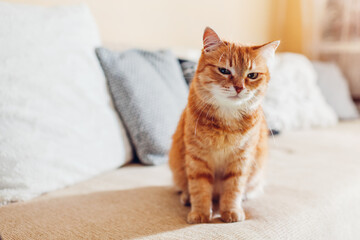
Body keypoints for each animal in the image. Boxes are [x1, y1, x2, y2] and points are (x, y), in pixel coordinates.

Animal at [170, 27, 280, 224]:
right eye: (224, 70)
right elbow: (199, 188)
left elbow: (234, 189)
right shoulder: (197, 158)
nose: (239, 87)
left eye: (252, 75)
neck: (226, 124)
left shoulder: (241, 160)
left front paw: (231, 211)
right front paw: (200, 213)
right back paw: (186, 197)